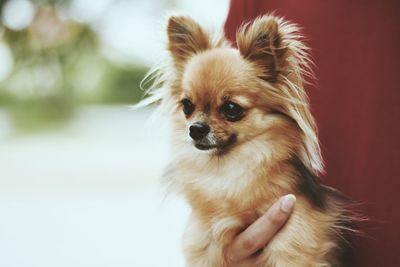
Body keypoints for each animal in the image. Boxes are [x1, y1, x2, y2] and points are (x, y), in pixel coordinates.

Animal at [143, 15, 354, 267]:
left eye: (231, 109)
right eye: (187, 106)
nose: (195, 129)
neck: (227, 173)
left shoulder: (294, 245)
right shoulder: (203, 246)